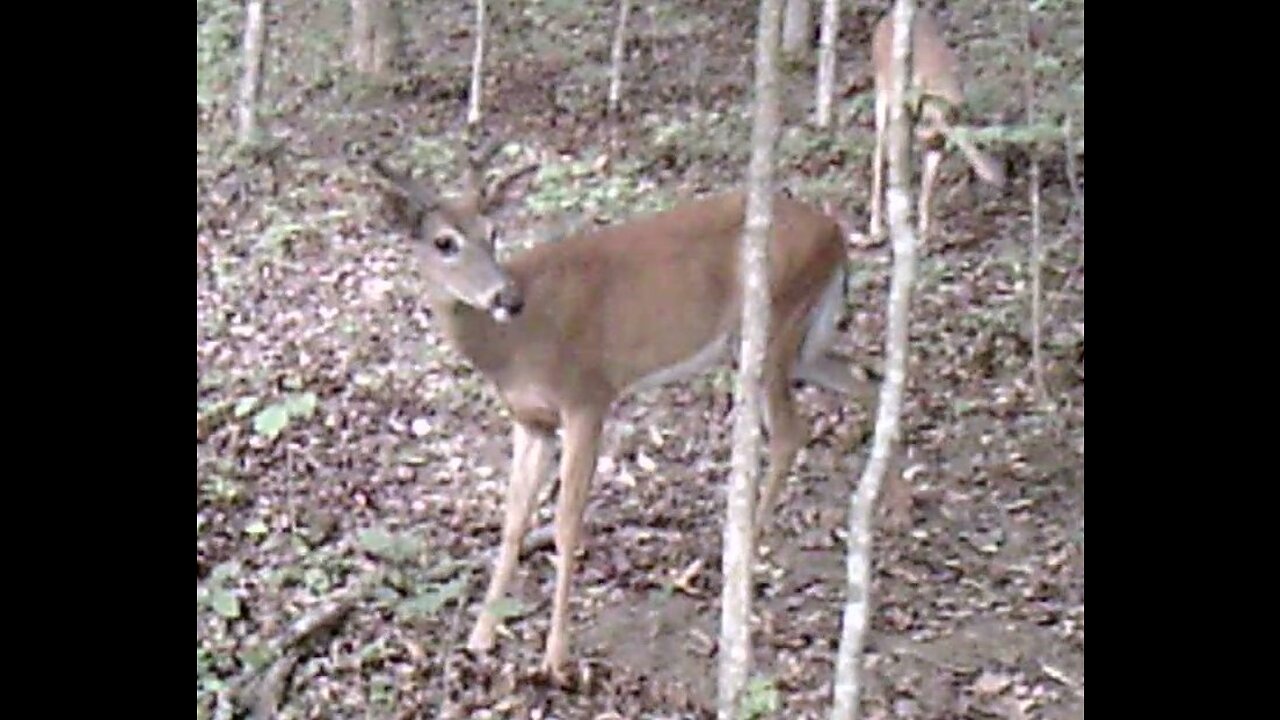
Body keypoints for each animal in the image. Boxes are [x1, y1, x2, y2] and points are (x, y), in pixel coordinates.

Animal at [366, 139, 875, 681]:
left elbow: (566, 525)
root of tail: (835, 231)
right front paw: (481, 636)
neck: (513, 345)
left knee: (790, 433)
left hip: (774, 325)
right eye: (444, 242)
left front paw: (555, 657)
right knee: (865, 379)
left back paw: (742, 555)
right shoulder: (530, 420)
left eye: (493, 232)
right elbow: (512, 521)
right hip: (804, 340)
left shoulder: (587, 396)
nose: (507, 297)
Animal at [865, 8, 1003, 242]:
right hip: (881, 97)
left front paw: (925, 232)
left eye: (947, 119)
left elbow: (928, 188)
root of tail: (886, 18)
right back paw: (876, 228)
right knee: (878, 156)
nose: (996, 175)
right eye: (927, 117)